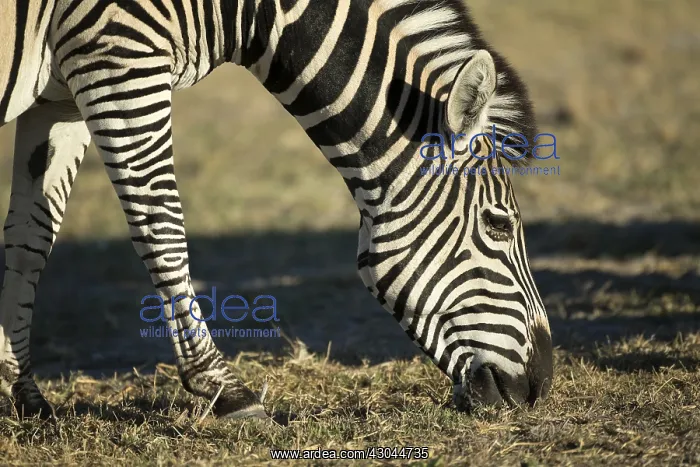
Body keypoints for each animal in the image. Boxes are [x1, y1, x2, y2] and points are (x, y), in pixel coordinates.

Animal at [0, 0, 553, 420]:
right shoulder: (117, 56)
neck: (244, 11)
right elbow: (161, 222)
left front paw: (22, 395)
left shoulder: (60, 95)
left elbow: (29, 239)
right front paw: (225, 389)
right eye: (498, 226)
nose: (541, 385)